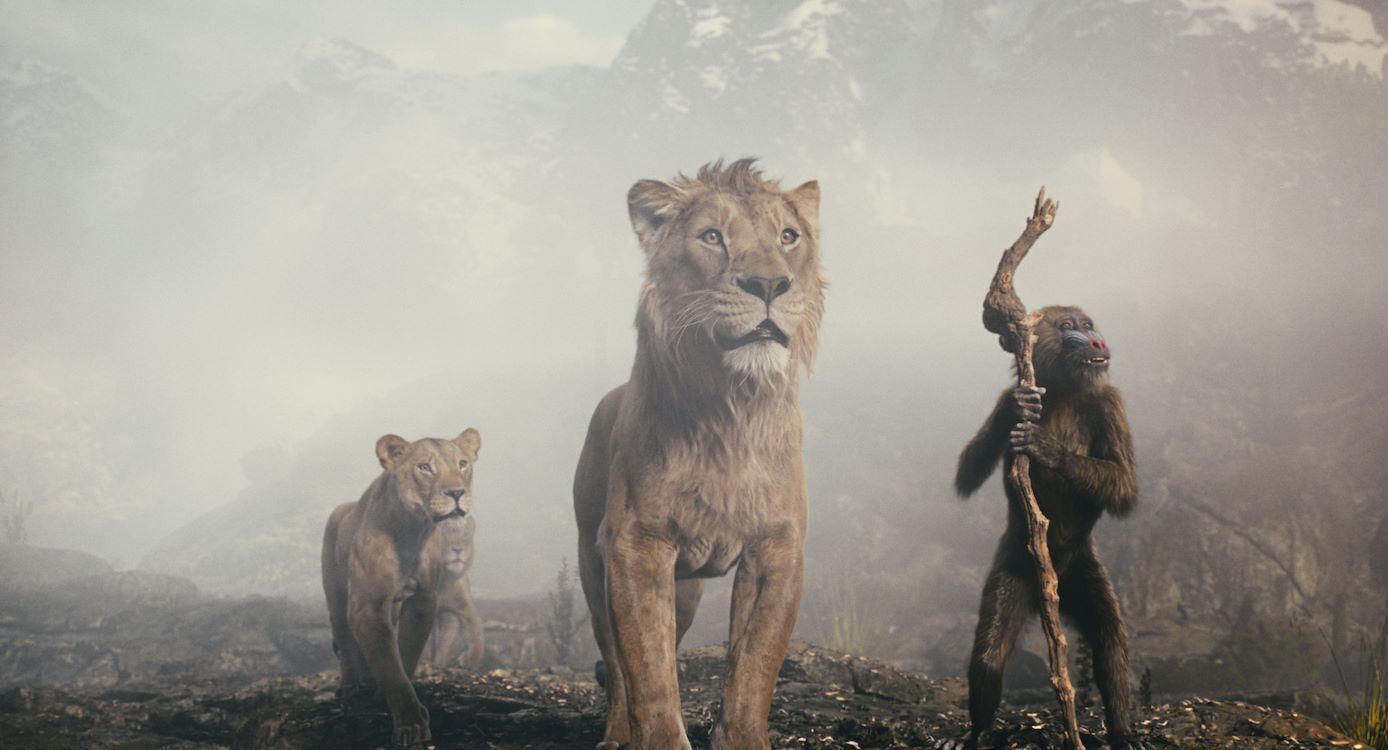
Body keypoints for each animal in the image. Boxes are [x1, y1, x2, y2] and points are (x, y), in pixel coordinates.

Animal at [425, 513, 485, 671]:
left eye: (465, 536)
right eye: (443, 535)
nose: (458, 549)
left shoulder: (460, 608)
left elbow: (474, 630)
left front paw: (470, 660)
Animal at [573, 158, 825, 750]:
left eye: (788, 236)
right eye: (712, 237)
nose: (769, 284)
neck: (731, 408)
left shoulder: (778, 548)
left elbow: (754, 666)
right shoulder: (636, 545)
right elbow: (648, 671)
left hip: (685, 590)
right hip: (594, 562)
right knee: (617, 665)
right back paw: (616, 734)